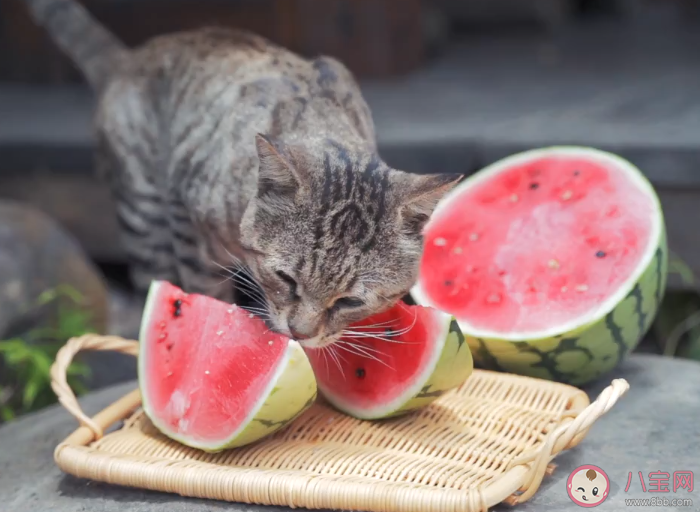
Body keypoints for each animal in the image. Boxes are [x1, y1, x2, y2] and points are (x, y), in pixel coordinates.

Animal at [26, 0, 464, 348]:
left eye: (350, 302)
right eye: (286, 279)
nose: (301, 333)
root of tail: (130, 57)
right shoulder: (191, 229)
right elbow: (203, 294)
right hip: (144, 216)